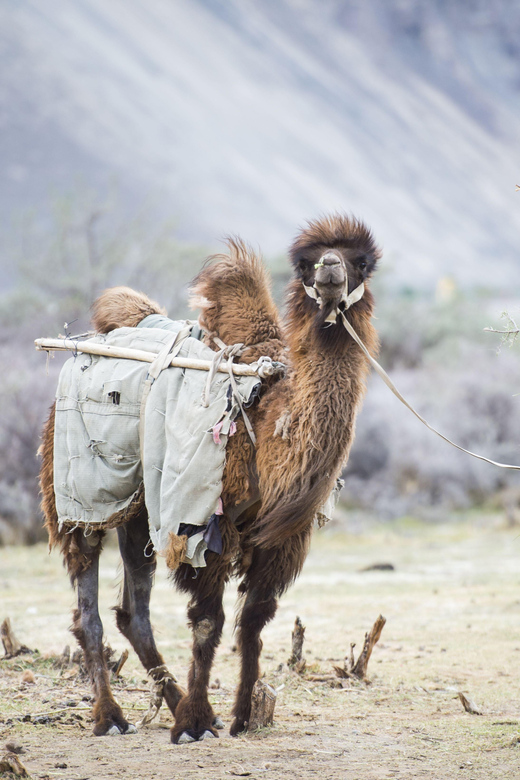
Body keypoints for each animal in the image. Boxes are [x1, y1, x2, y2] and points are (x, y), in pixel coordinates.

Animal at [39, 212, 378, 744]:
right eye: (306, 262)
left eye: (361, 261)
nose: (329, 268)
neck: (269, 425)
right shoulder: (204, 522)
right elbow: (207, 622)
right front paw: (194, 724)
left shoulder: (281, 541)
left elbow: (254, 621)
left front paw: (240, 716)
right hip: (79, 496)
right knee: (87, 608)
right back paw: (111, 717)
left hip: (140, 509)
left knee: (133, 612)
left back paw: (172, 702)